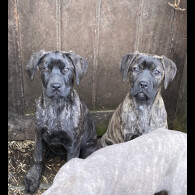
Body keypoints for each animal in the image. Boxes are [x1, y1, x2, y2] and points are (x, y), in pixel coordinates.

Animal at [24, 50, 97, 193]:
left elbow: (70, 164)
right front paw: (33, 178)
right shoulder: (38, 134)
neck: (55, 107)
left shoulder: (73, 144)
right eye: (46, 69)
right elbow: (37, 156)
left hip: (88, 147)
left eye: (66, 69)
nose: (56, 86)